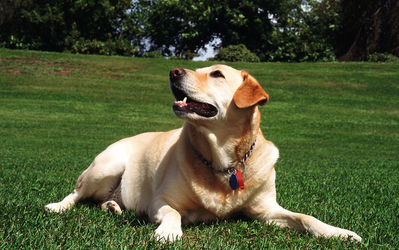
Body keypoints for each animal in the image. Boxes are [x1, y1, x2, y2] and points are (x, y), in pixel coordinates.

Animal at [44, 64, 362, 242]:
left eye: (217, 74)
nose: (173, 71)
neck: (224, 162)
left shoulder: (267, 210)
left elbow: (306, 217)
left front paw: (339, 233)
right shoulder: (160, 201)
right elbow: (174, 212)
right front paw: (169, 231)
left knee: (101, 201)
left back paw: (112, 206)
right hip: (107, 165)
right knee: (77, 193)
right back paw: (58, 206)